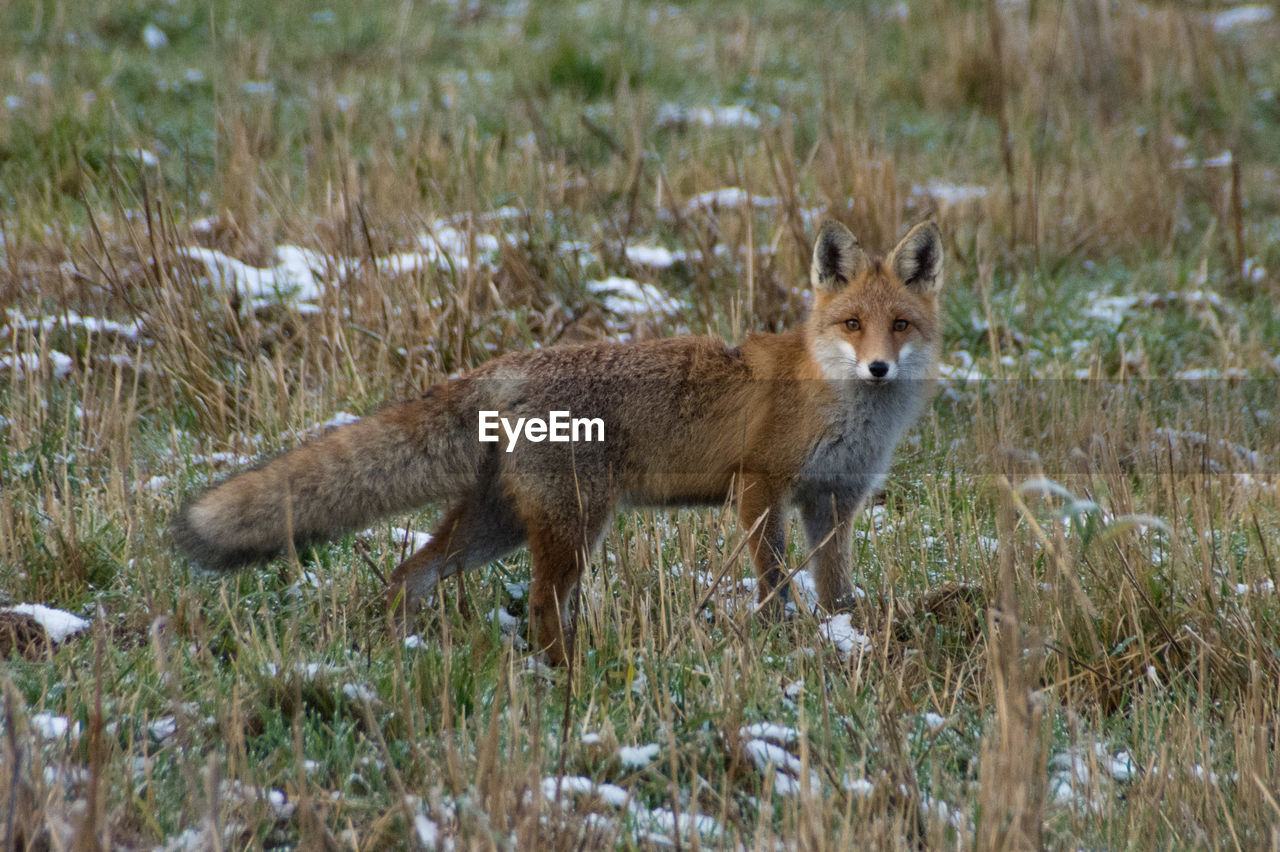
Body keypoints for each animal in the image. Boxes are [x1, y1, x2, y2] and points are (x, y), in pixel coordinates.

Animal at [172, 217, 942, 654]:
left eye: (900, 325)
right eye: (851, 324)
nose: (878, 367)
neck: (838, 404)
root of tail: (503, 366)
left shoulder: (834, 501)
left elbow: (835, 587)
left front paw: (846, 635)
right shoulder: (760, 488)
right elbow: (776, 581)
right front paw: (784, 641)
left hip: (502, 524)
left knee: (409, 574)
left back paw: (400, 651)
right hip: (572, 523)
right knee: (541, 602)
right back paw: (563, 672)